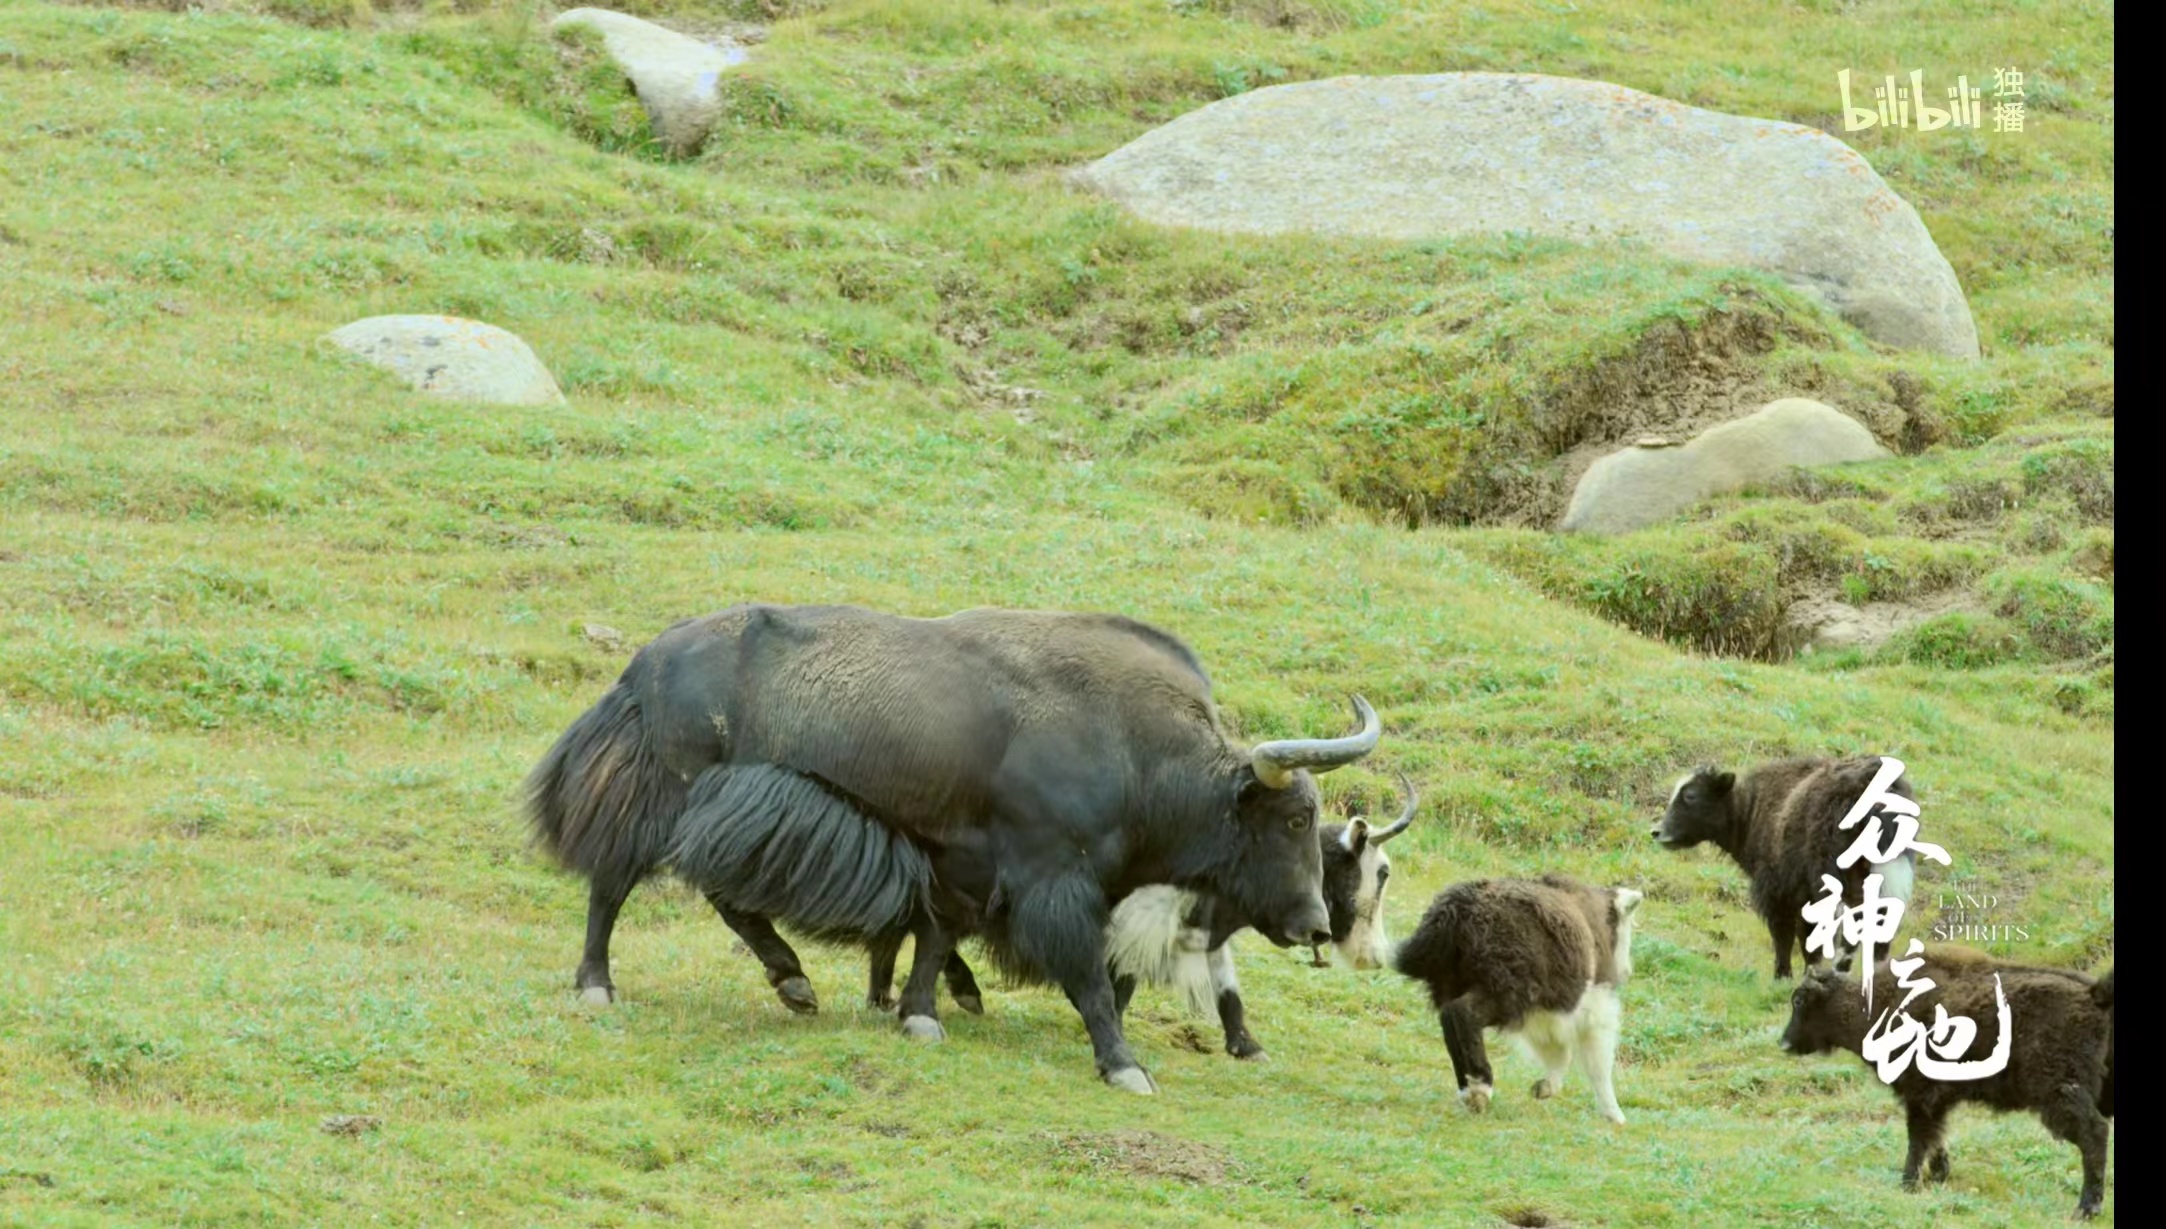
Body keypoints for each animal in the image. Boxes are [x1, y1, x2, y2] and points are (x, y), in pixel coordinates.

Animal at [1386, 875, 1637, 1127]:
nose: (1627, 972)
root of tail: (1454, 910)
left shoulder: (1542, 1014)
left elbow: (1557, 1051)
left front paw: (1543, 1088)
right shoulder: (1591, 1008)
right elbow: (1595, 1061)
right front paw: (1615, 1115)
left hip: (1457, 985)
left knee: (1449, 1019)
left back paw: (1468, 1090)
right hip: (1505, 993)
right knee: (1460, 1014)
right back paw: (1481, 1088)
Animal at [1646, 749, 1923, 979]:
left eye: (1691, 795)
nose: (1657, 832)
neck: (1750, 811)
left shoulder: (1779, 891)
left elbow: (1788, 934)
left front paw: (1784, 976)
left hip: (1833, 875)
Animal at [1776, 958, 2114, 1213]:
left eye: (1800, 1000)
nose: (1784, 1044)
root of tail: (2094, 994)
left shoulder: (1919, 1095)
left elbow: (1918, 1139)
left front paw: (1908, 1182)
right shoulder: (1937, 1100)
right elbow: (1936, 1138)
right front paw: (1938, 1175)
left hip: (2059, 1093)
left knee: (2094, 1133)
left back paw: (2086, 1208)